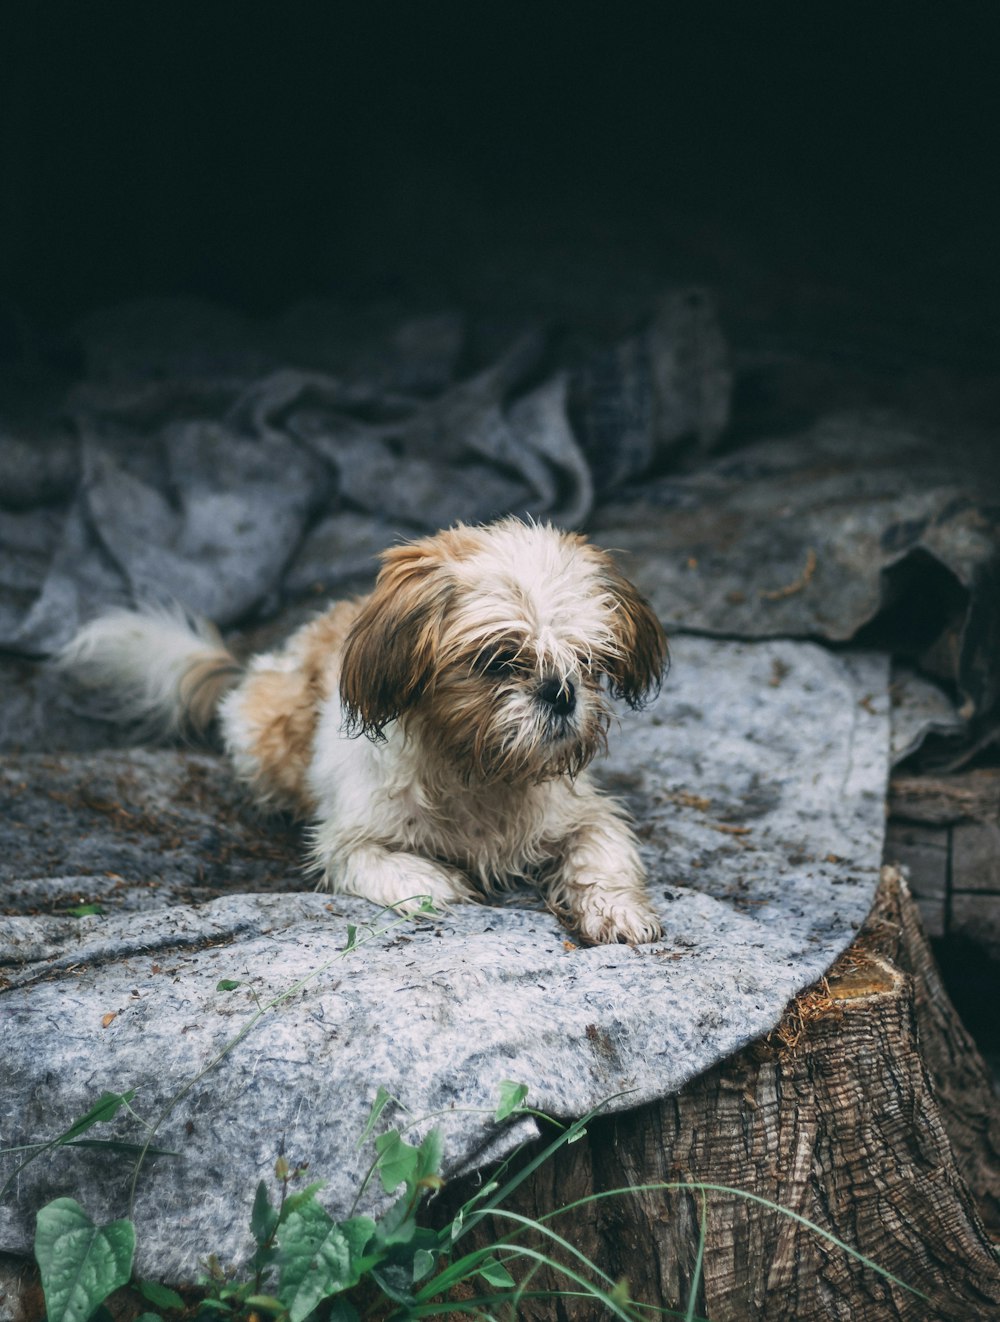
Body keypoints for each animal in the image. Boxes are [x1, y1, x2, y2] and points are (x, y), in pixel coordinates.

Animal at [62, 515, 671, 941]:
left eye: (590, 660)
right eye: (497, 661)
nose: (559, 692)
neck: (477, 772)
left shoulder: (585, 813)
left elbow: (601, 853)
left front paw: (616, 910)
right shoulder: (348, 841)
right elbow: (389, 865)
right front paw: (438, 883)